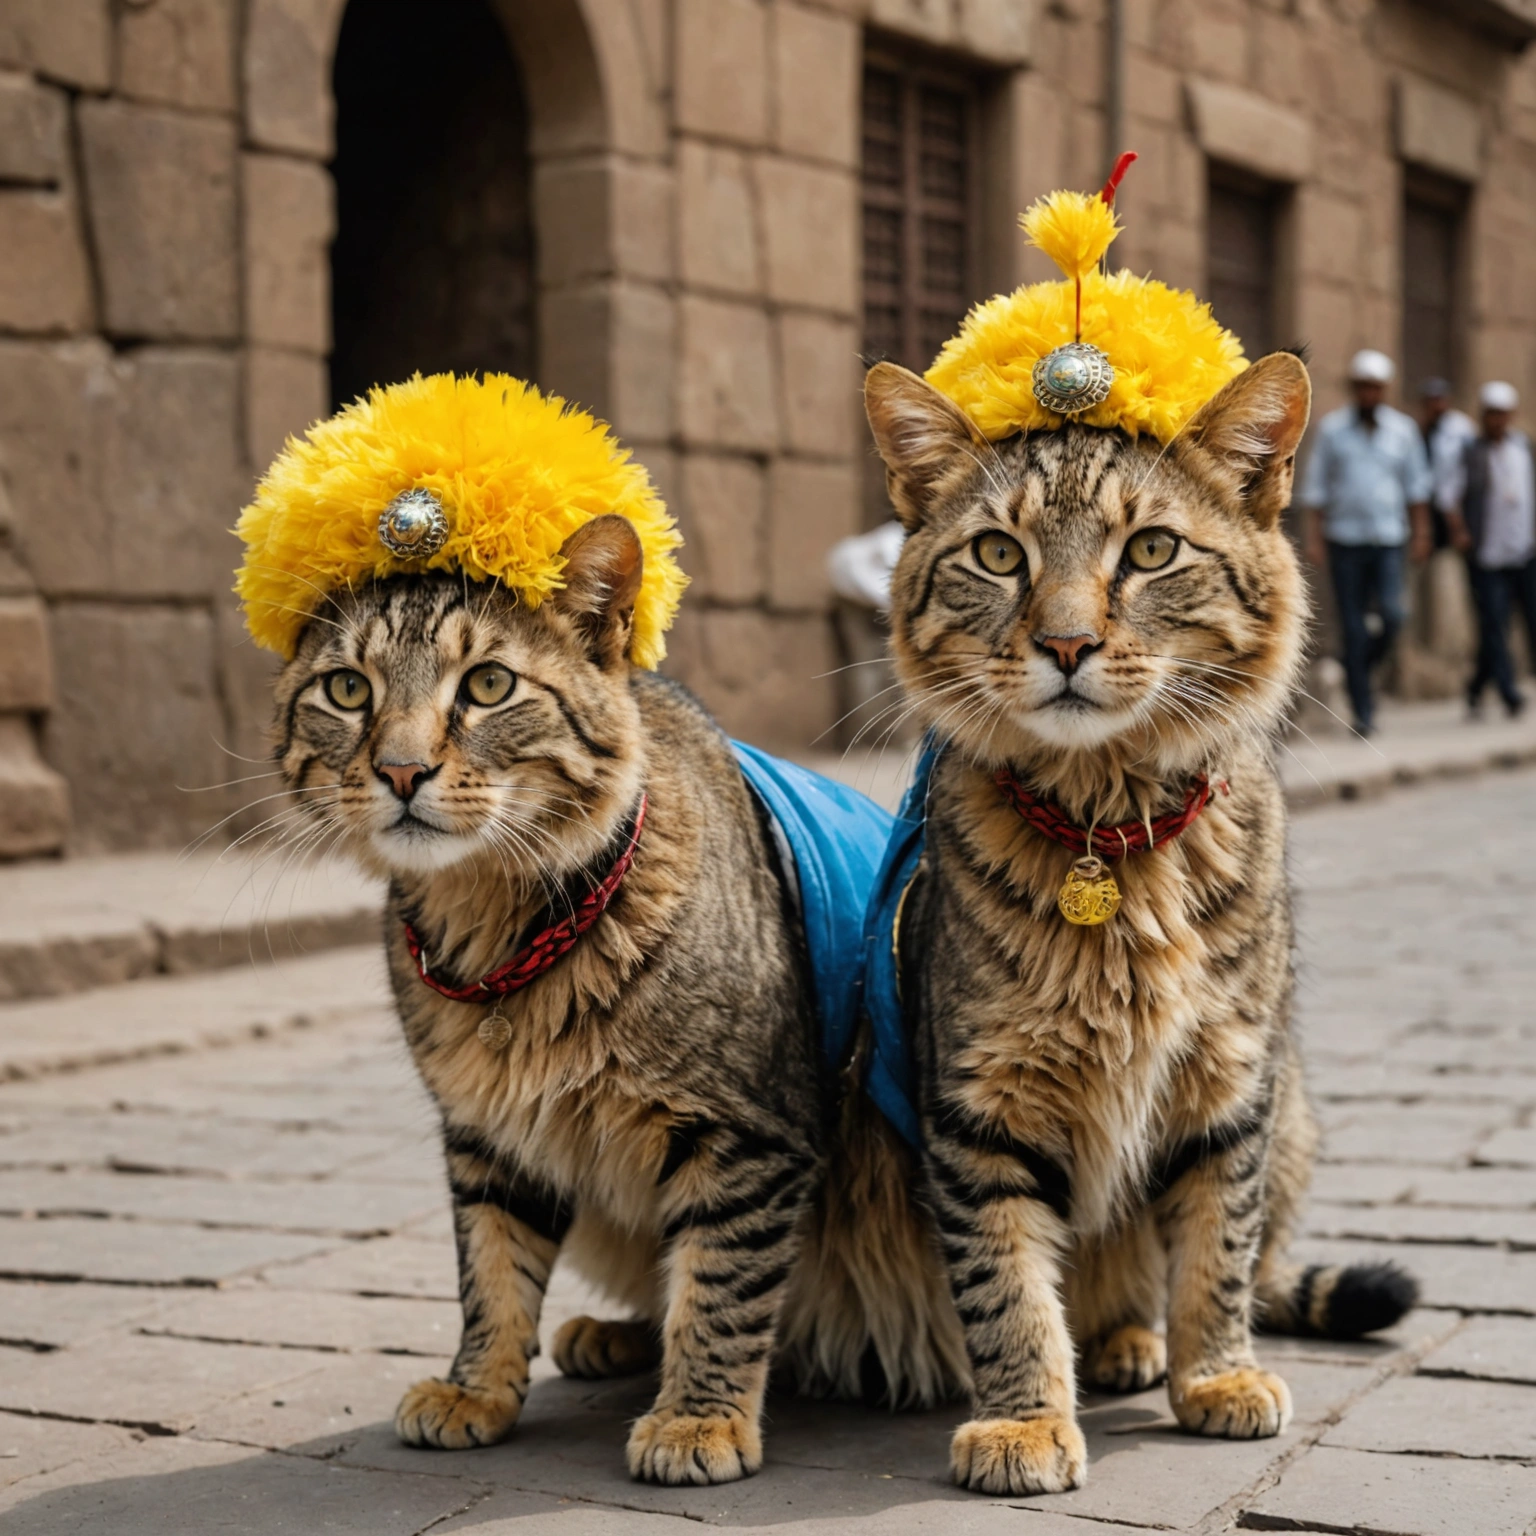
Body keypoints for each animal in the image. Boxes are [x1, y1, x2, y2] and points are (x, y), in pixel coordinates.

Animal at [866, 353, 1413, 1492]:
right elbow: (1007, 1286)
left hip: (1296, 1116)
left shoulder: (1231, 1083)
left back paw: (1133, 1342)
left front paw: (1217, 1375)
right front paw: (1024, 1420)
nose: (1067, 642)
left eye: (1152, 551)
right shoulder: (979, 1107)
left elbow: (1216, 1252)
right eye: (998, 555)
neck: (1107, 836)